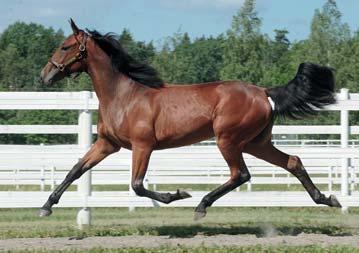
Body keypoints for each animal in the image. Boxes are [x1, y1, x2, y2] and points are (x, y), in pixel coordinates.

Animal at [39, 19, 344, 219]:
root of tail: (263, 91)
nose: (45, 75)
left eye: (65, 46)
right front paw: (46, 206)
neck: (124, 96)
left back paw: (201, 205)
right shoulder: (107, 144)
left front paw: (177, 195)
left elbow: (137, 186)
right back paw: (328, 199)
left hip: (228, 140)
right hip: (256, 143)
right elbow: (76, 170)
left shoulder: (142, 146)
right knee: (293, 162)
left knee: (241, 174)